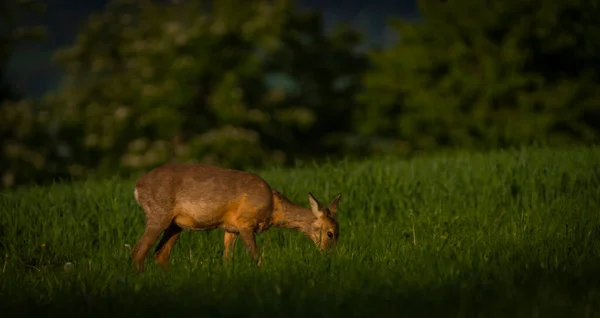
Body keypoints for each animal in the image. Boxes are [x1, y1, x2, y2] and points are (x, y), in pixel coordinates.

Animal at [130, 163, 342, 272]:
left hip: (176, 224)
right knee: (139, 251)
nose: (330, 257)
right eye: (330, 233)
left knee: (160, 254)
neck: (273, 207)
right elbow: (256, 257)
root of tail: (138, 186)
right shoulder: (246, 223)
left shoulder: (231, 228)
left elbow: (227, 259)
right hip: (158, 214)